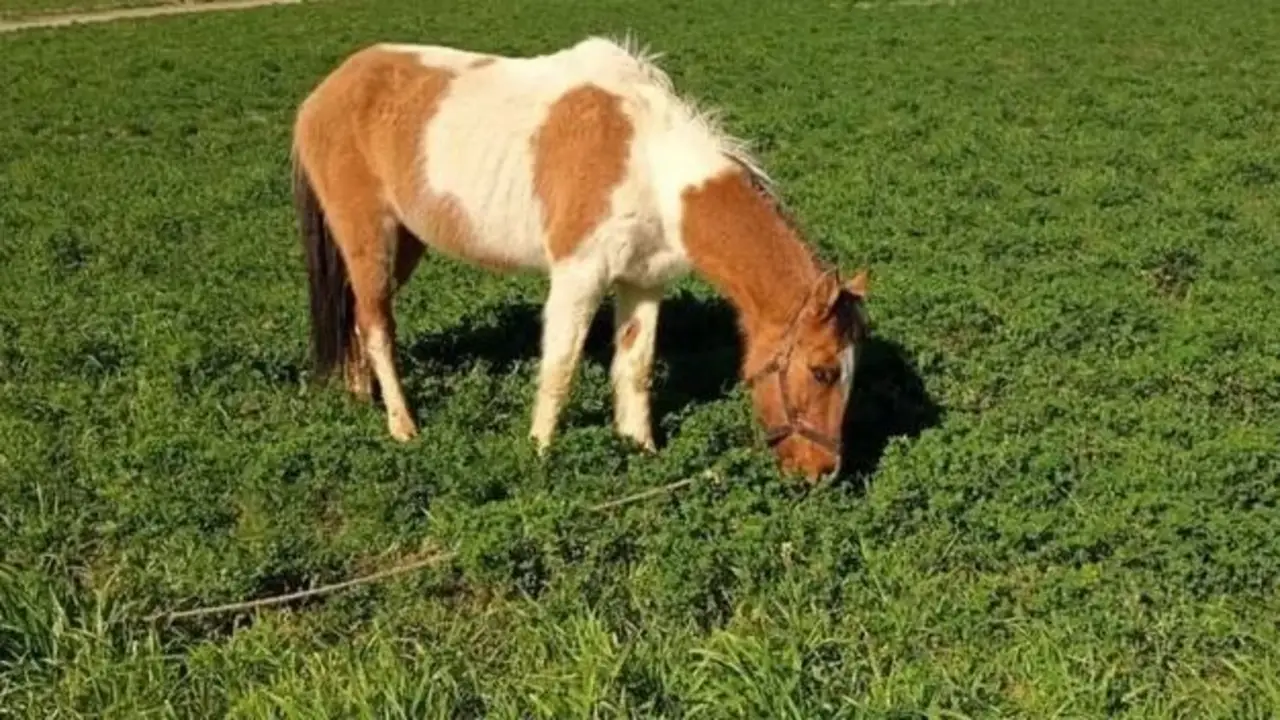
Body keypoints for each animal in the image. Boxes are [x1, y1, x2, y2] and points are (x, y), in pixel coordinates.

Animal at [290, 36, 871, 481]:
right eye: (822, 371)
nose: (823, 472)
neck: (649, 165)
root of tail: (324, 93)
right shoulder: (578, 278)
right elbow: (560, 369)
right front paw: (542, 455)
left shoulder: (642, 283)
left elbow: (634, 369)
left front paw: (641, 451)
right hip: (371, 238)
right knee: (377, 325)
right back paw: (403, 426)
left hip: (404, 243)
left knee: (357, 318)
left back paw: (361, 396)